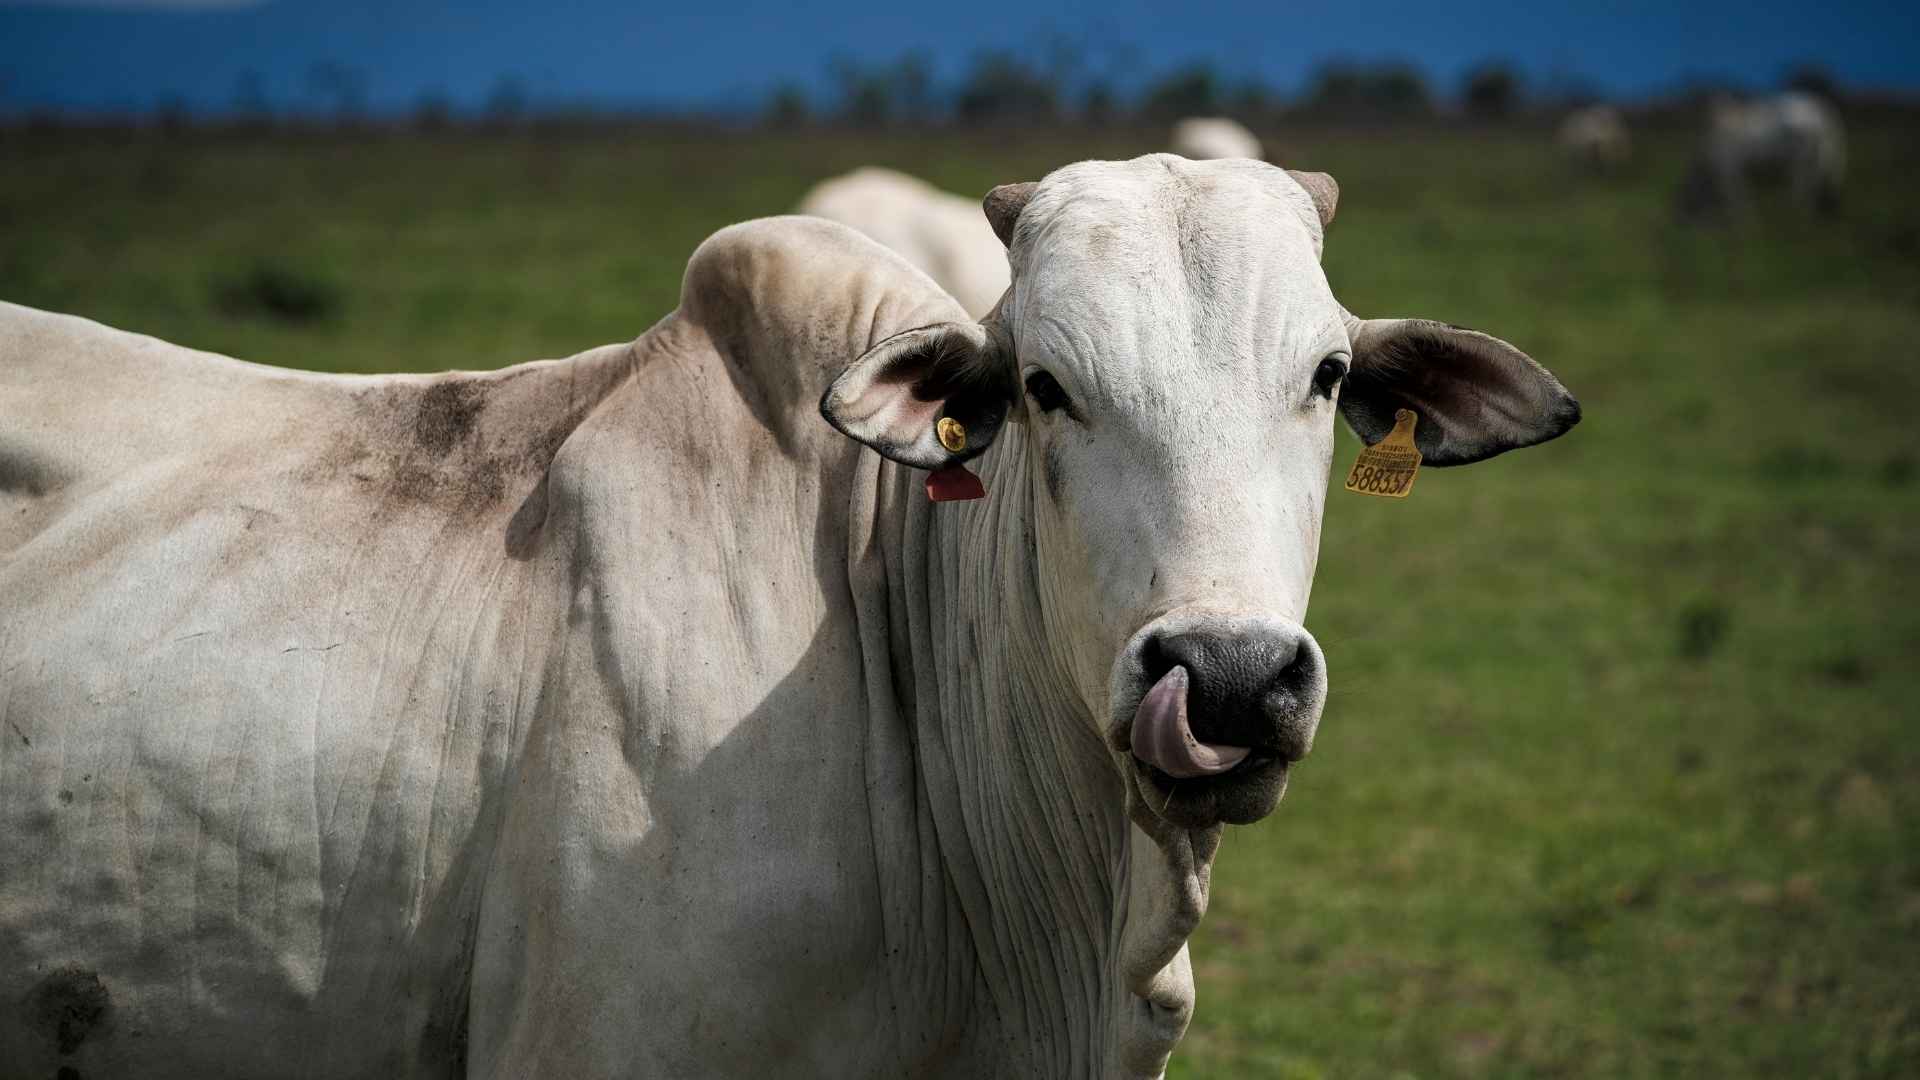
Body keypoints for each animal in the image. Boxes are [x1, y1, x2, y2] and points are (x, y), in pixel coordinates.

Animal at [1678, 91, 1846, 218]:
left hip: (1803, 165)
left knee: (1803, 192)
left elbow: (1737, 201)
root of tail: (1823, 115)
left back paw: (1797, 216)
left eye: (1686, 201)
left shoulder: (1730, 171)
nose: (1679, 226)